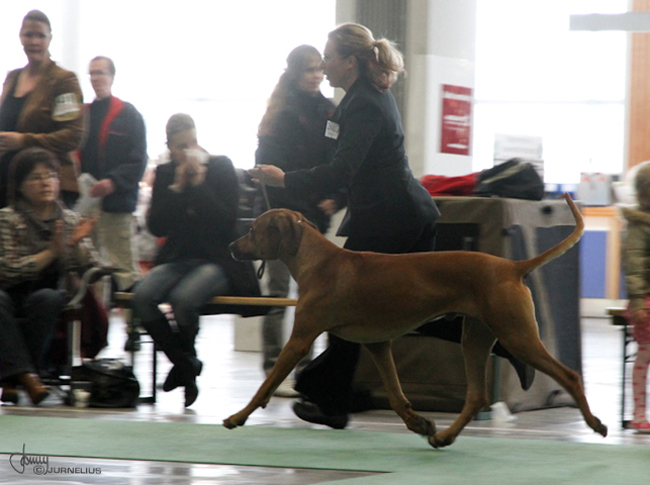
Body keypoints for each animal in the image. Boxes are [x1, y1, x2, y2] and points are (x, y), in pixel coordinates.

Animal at [224, 193, 608, 446]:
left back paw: (594, 423)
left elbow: (266, 383)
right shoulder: (378, 344)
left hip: (516, 335)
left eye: (254, 230)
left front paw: (238, 416)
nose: (231, 247)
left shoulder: (300, 339)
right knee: (476, 396)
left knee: (569, 376)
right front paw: (419, 423)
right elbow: (396, 395)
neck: (318, 260)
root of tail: (512, 266)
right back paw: (444, 436)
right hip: (475, 338)